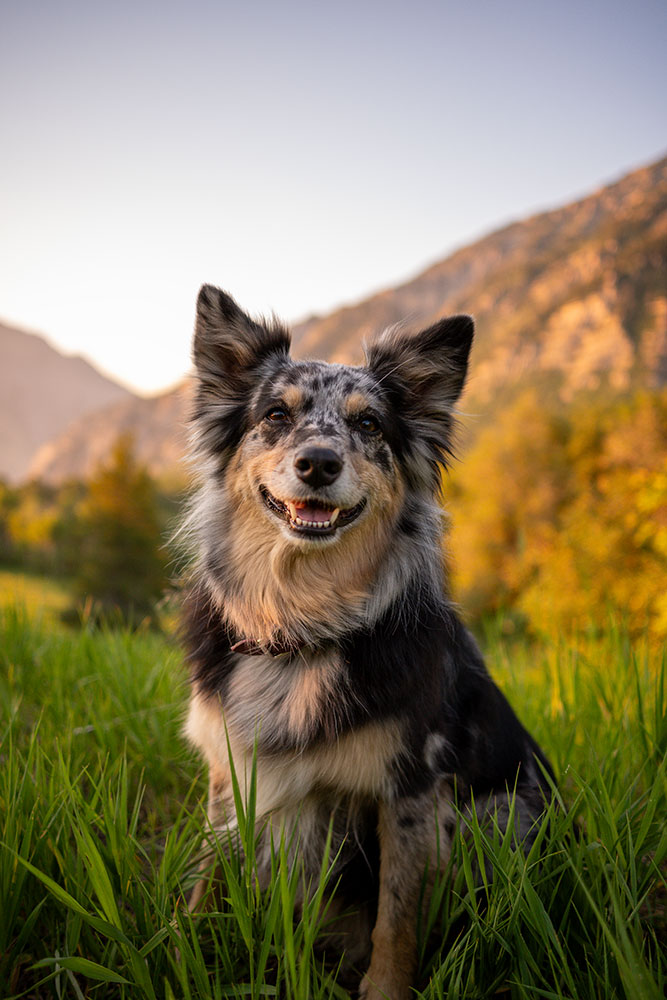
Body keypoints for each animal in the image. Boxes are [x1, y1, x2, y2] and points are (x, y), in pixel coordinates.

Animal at [181, 286, 552, 996]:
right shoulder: (228, 773)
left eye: (371, 426)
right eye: (276, 414)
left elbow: (395, 922)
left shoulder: (410, 790)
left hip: (500, 812)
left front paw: (383, 987)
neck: (302, 621)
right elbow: (206, 876)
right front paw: (175, 944)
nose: (319, 464)